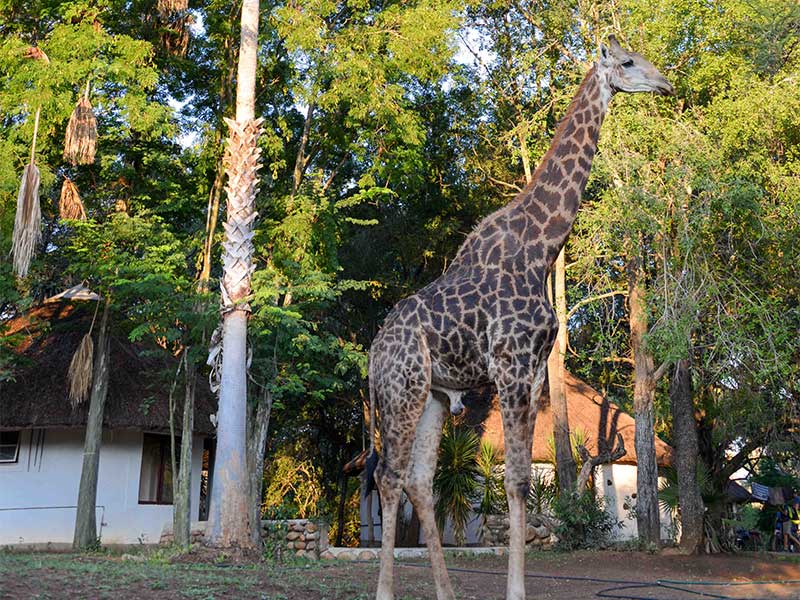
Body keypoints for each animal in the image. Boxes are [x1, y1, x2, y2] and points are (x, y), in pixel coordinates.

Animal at [367, 36, 673, 600]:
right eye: (627, 62)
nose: (664, 84)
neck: (542, 246)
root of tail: (373, 353)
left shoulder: (531, 372)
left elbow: (524, 481)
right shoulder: (509, 365)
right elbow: (512, 479)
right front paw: (515, 590)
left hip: (435, 395)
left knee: (418, 479)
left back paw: (446, 592)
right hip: (403, 389)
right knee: (389, 477)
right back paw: (385, 592)